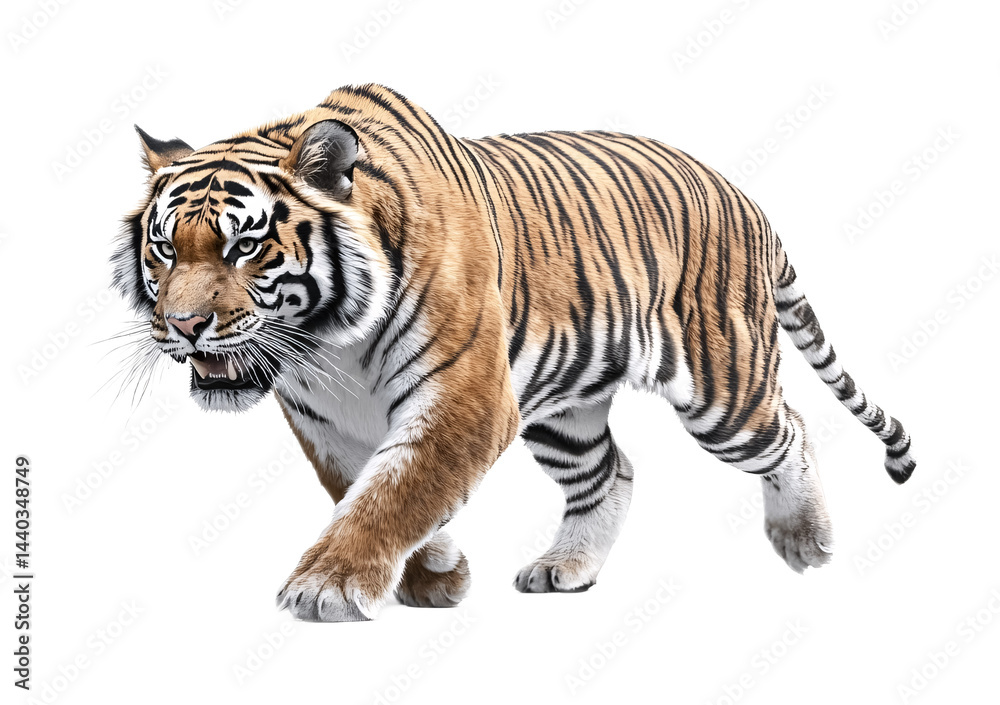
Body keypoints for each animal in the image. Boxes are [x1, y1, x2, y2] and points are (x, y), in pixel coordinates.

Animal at [113, 83, 916, 622]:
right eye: (165, 247)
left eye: (243, 247)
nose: (183, 325)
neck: (329, 345)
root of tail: (744, 197)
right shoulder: (326, 421)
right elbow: (362, 485)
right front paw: (434, 573)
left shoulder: (464, 396)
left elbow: (398, 486)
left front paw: (326, 587)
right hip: (565, 410)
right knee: (611, 472)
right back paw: (568, 567)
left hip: (723, 385)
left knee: (792, 430)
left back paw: (805, 537)